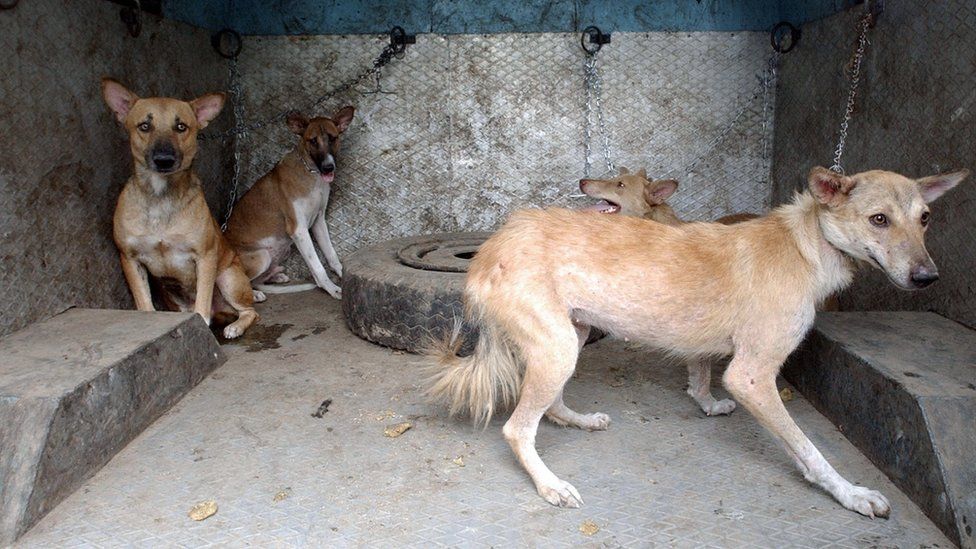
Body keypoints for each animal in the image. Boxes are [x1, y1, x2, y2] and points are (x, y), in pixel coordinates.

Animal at [101, 78, 258, 338]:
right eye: (144, 126)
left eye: (181, 127)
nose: (164, 160)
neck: (161, 196)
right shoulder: (130, 259)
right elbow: (144, 303)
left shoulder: (205, 256)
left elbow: (202, 304)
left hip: (229, 278)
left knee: (250, 311)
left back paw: (235, 327)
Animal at [225, 106, 354, 300]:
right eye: (312, 141)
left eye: (333, 138)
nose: (328, 167)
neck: (311, 175)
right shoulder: (299, 230)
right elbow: (317, 266)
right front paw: (332, 289)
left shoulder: (318, 221)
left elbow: (331, 254)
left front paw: (341, 274)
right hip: (261, 256)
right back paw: (254, 294)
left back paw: (275, 276)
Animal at [430, 166, 964, 512]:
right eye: (879, 219)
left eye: (925, 218)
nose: (928, 278)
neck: (806, 246)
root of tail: (493, 244)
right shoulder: (752, 376)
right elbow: (808, 448)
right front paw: (849, 493)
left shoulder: (710, 352)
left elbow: (699, 374)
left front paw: (705, 404)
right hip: (559, 347)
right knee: (517, 428)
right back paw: (550, 485)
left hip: (572, 337)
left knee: (551, 404)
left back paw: (578, 420)